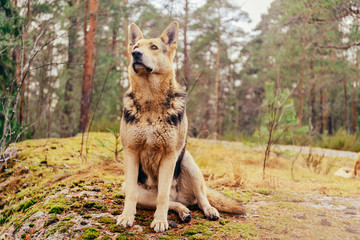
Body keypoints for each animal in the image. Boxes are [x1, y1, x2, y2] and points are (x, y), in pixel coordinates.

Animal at [116, 21, 246, 232]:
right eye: (135, 47)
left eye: (153, 47)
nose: (136, 54)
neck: (151, 102)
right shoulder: (131, 152)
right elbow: (135, 197)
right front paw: (127, 216)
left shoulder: (170, 155)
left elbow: (162, 196)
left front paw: (160, 221)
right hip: (129, 185)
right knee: (173, 202)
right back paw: (183, 211)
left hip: (188, 162)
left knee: (199, 197)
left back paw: (209, 210)